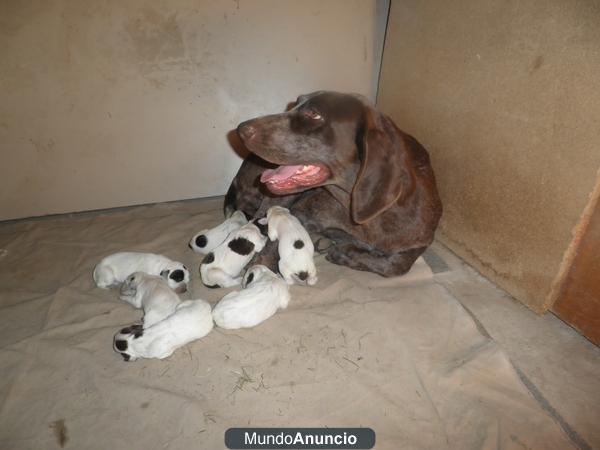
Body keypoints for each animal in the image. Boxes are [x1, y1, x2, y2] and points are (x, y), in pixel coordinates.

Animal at [224, 90, 440, 276]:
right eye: (294, 105)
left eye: (313, 113)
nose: (241, 128)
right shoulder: (300, 214)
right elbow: (271, 246)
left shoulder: (419, 243)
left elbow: (397, 266)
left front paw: (348, 254)